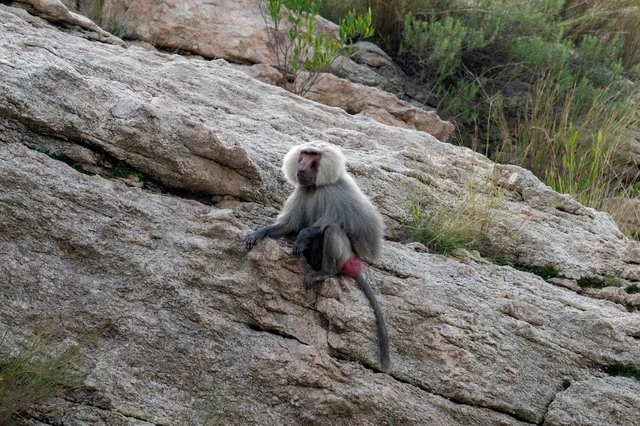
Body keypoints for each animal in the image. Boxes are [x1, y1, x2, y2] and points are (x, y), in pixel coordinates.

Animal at [245, 141, 390, 372]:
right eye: (304, 153)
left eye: (313, 155)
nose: (301, 167)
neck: (315, 187)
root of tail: (353, 265)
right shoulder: (302, 191)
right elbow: (289, 225)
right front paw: (258, 234)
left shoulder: (337, 192)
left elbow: (324, 226)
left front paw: (303, 235)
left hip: (344, 257)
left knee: (332, 229)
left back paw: (324, 272)